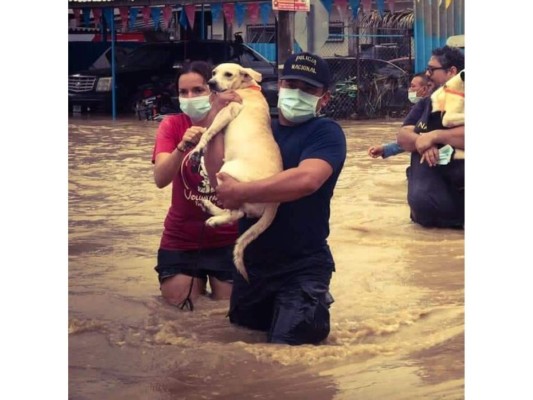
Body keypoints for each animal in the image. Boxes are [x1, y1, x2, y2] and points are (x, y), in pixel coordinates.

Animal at [190, 63, 282, 282]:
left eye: (228, 74)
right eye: (213, 73)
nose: (211, 83)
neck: (247, 88)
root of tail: (275, 202)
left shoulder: (228, 110)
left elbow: (207, 132)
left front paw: (197, 150)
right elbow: (206, 130)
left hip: (228, 173)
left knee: (236, 213)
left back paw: (215, 218)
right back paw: (210, 210)